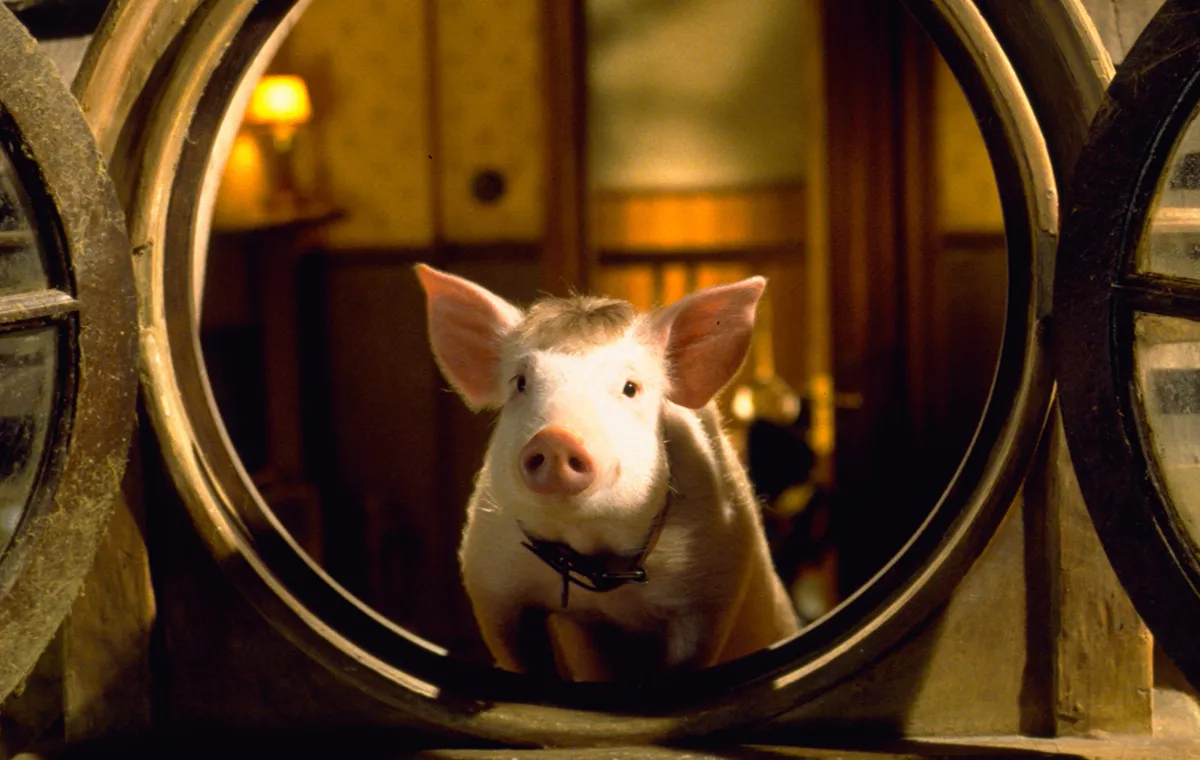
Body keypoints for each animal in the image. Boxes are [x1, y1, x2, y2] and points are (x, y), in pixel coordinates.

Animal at [415, 264, 800, 681]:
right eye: (520, 383)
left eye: (630, 387)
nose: (557, 438)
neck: (595, 558)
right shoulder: (490, 579)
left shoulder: (712, 586)